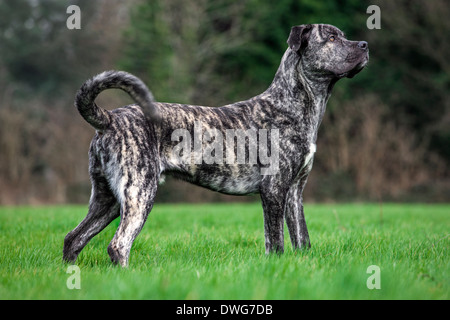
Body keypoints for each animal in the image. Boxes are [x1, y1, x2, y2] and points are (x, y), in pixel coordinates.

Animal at [63, 23, 370, 266]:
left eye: (342, 35)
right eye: (331, 38)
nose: (365, 45)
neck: (291, 104)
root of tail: (110, 118)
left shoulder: (295, 191)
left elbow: (301, 238)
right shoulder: (274, 190)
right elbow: (275, 242)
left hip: (108, 200)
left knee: (73, 238)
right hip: (139, 193)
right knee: (119, 245)